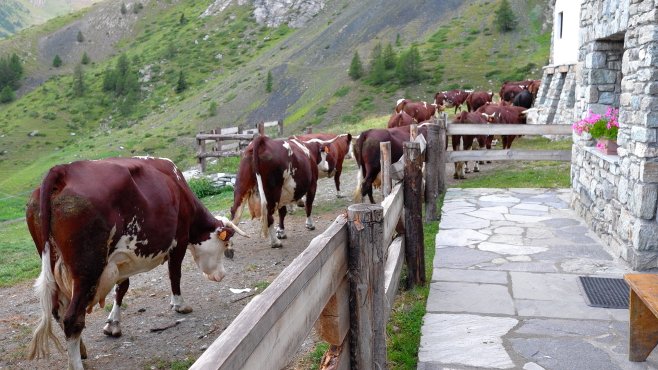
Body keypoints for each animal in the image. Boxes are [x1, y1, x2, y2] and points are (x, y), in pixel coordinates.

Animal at [25, 156, 246, 370]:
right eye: (225, 243)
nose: (222, 275)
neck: (179, 188)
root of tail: (63, 170)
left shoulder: (122, 258)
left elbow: (122, 288)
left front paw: (113, 324)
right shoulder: (179, 240)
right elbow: (175, 274)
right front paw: (180, 305)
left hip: (55, 264)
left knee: (59, 312)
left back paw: (82, 350)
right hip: (88, 271)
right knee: (72, 319)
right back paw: (77, 363)